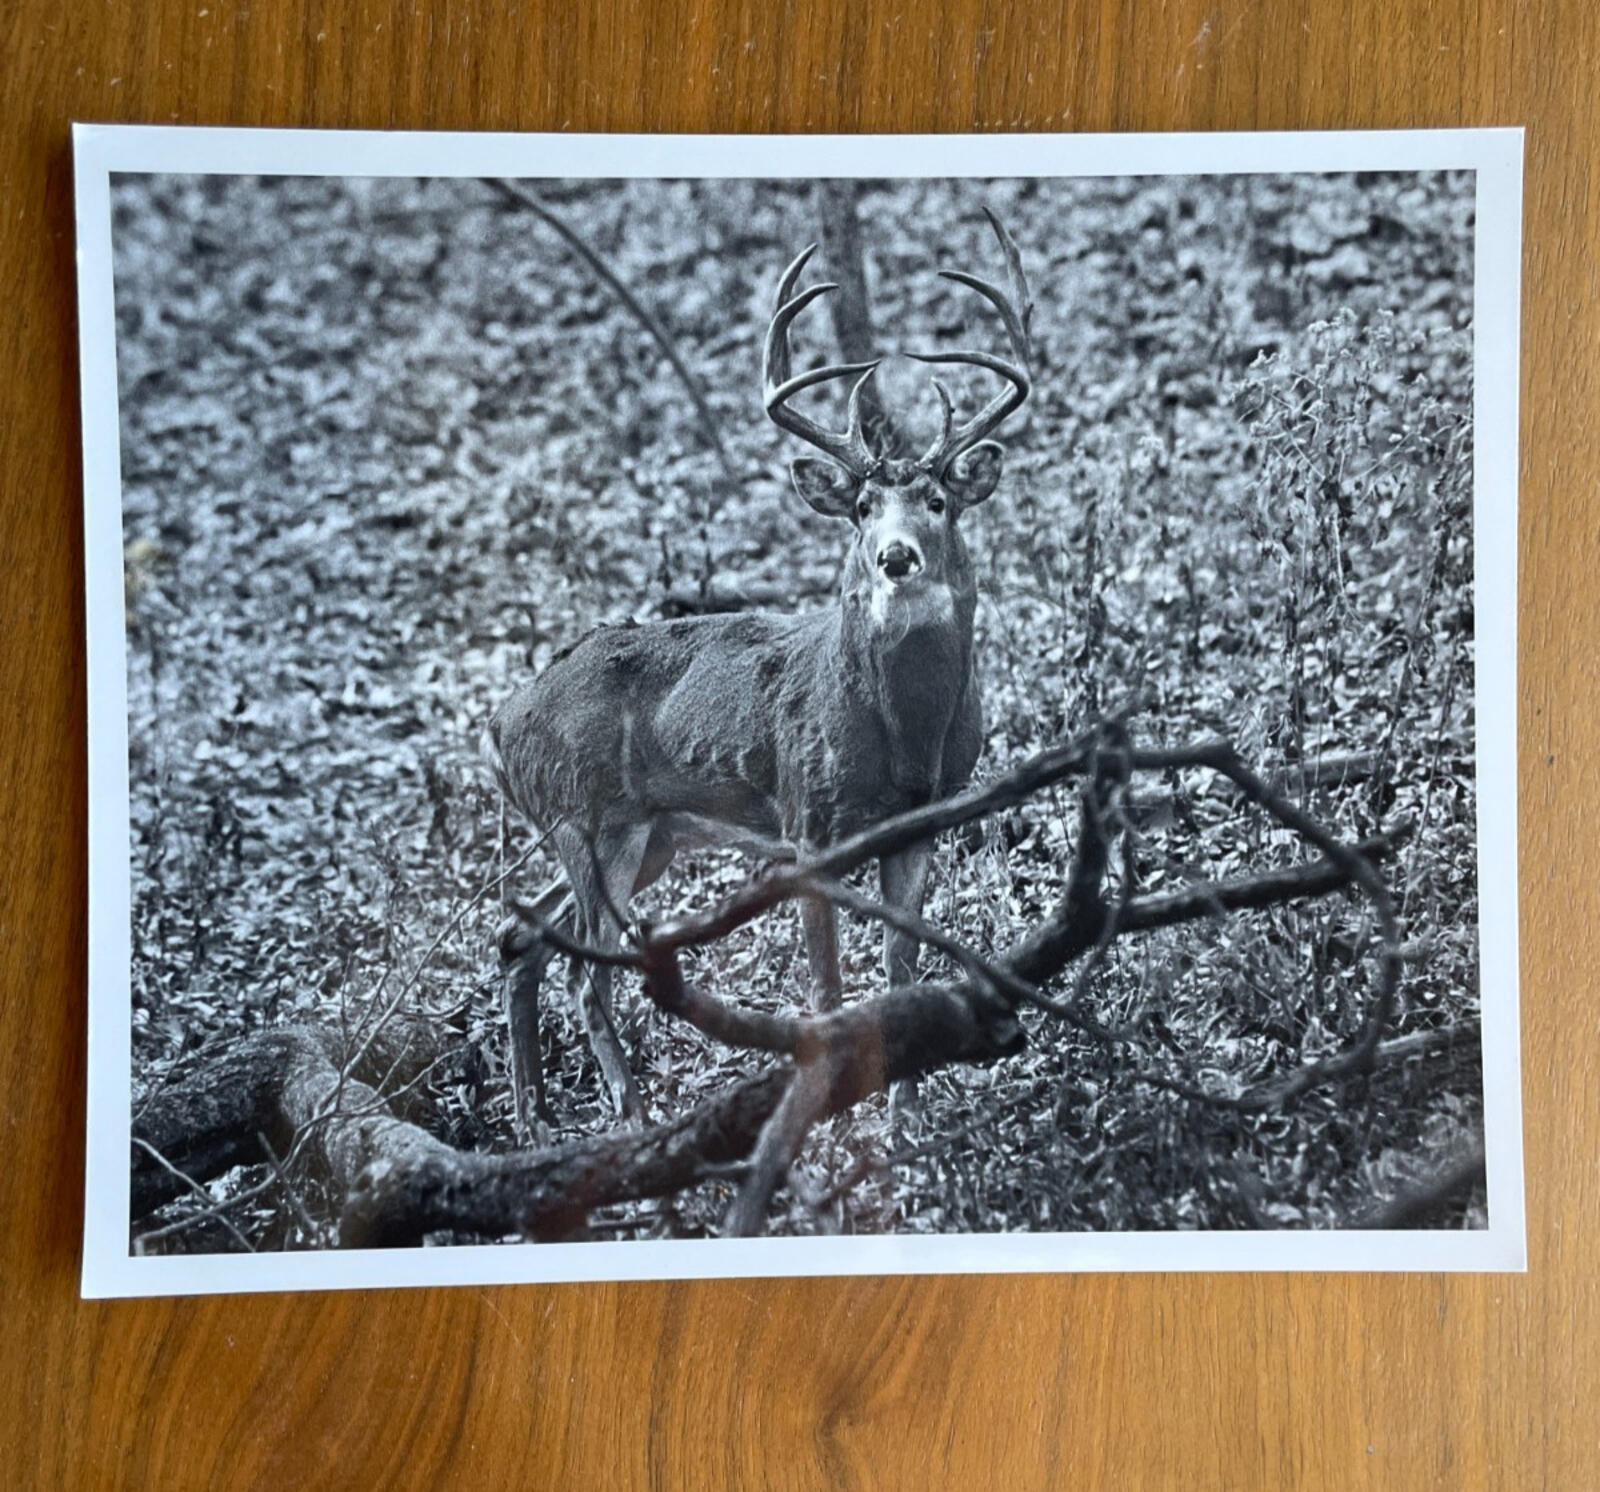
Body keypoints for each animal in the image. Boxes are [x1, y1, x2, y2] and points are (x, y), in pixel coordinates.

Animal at [484, 210, 1032, 1133]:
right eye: (860, 506)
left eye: (938, 500)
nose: (893, 558)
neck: (905, 739)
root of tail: (501, 721)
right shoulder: (806, 825)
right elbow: (828, 985)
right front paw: (841, 1124)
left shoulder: (922, 821)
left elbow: (902, 966)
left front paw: (910, 1118)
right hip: (589, 821)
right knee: (584, 975)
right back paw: (633, 1119)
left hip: (642, 835)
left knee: (520, 941)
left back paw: (532, 1121)